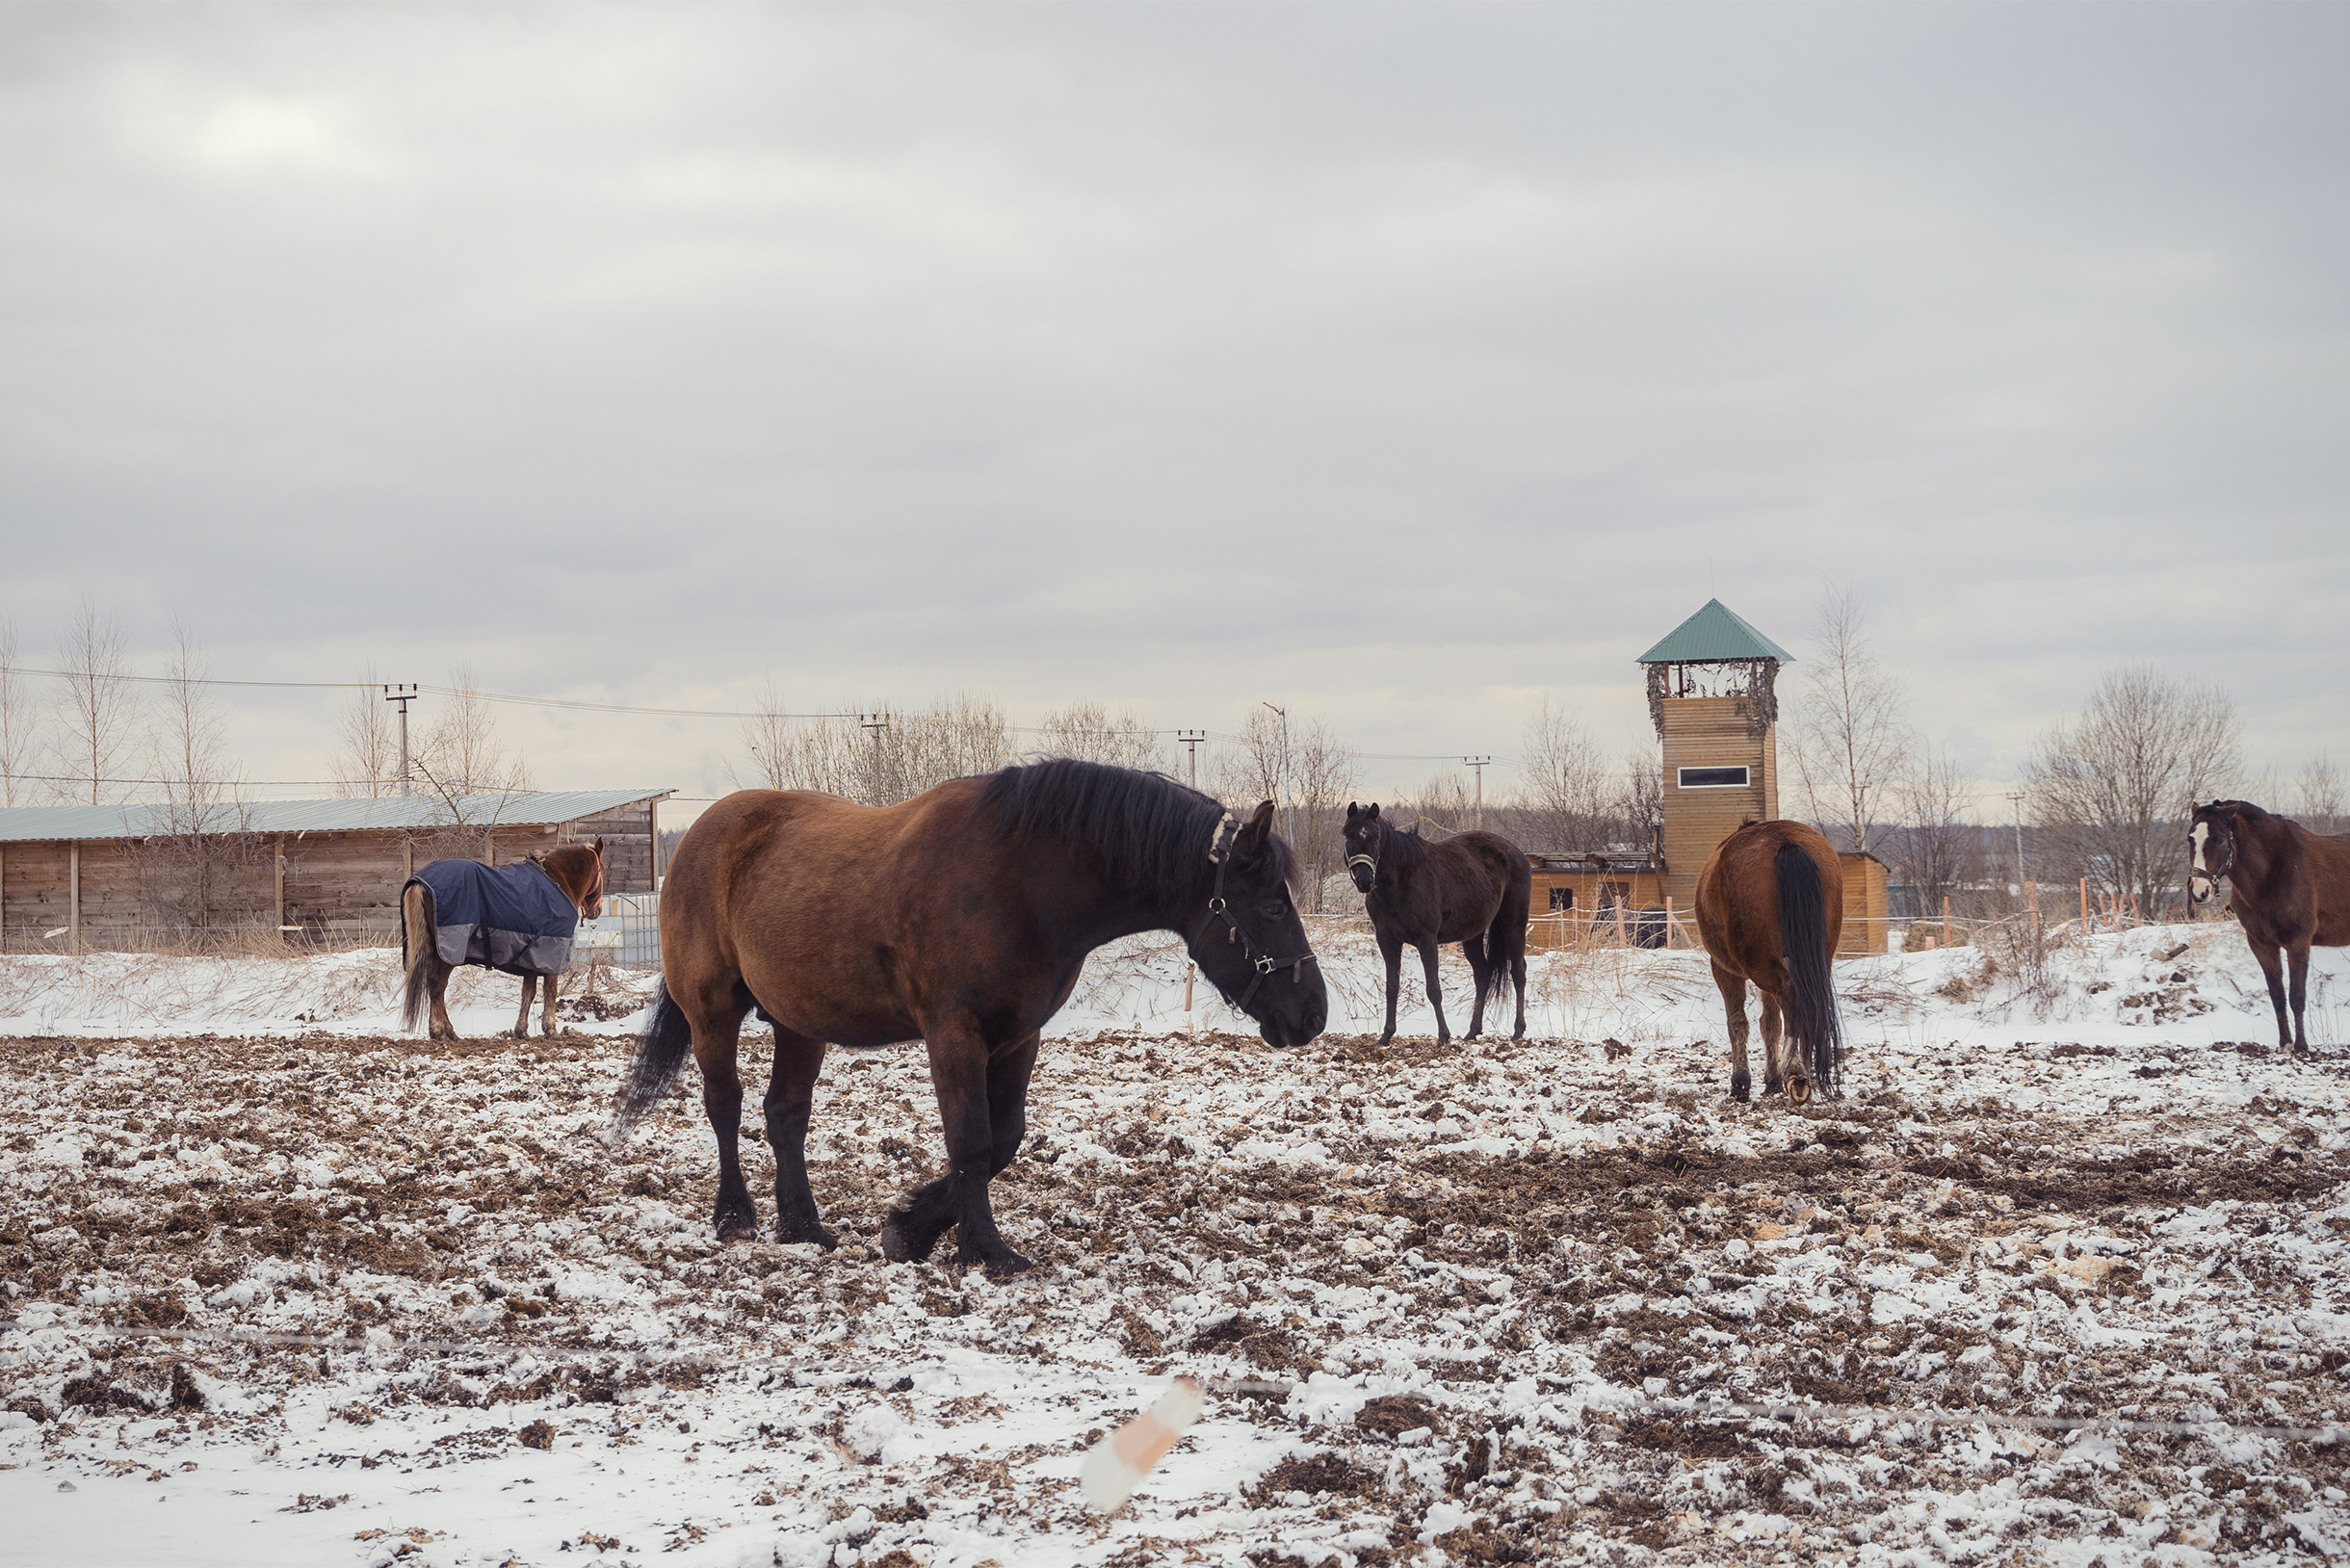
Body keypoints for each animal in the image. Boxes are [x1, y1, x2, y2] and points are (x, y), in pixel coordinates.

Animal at [397, 841, 601, 1048]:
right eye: (600, 871)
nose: (597, 911)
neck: (556, 881)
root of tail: (421, 882)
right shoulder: (551, 958)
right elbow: (550, 992)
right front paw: (551, 1030)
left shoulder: (531, 959)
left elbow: (528, 993)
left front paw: (521, 1031)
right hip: (447, 953)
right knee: (437, 986)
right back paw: (439, 1031)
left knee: (437, 988)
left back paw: (450, 1032)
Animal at [615, 761, 1334, 1278]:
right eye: (1272, 907)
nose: (1313, 1014)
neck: (1018, 883)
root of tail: (699, 837)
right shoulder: (953, 1034)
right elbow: (972, 1140)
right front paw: (984, 1250)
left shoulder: (1018, 1037)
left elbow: (1006, 1136)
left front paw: (912, 1228)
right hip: (711, 1009)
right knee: (725, 1104)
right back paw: (734, 1216)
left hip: (800, 1019)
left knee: (785, 1114)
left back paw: (804, 1227)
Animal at [1344, 803, 1541, 1048]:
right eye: (1348, 836)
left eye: (1377, 838)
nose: (1364, 880)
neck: (1399, 882)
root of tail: (1517, 853)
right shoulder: (1387, 939)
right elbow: (1392, 987)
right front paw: (1386, 1035)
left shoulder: (1426, 939)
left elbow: (1434, 989)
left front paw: (1443, 1036)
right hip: (1473, 934)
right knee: (1482, 974)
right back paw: (1472, 1032)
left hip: (1513, 925)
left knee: (1518, 972)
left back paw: (1517, 1031)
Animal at [1701, 823, 1841, 1105]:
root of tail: (1784, 840)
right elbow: (1770, 1024)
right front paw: (1772, 1079)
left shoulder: (1723, 969)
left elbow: (1737, 1022)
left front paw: (1740, 1083)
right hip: (1811, 960)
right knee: (1807, 1006)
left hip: (1760, 966)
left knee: (1793, 1000)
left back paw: (1796, 1072)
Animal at [2180, 798, 2350, 1053]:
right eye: (2190, 838)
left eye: (2220, 839)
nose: (2200, 891)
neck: (2273, 871)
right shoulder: (2261, 944)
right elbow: (2277, 996)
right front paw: (2285, 1044)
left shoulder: (2298, 943)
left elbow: (2297, 996)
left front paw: (2301, 1046)